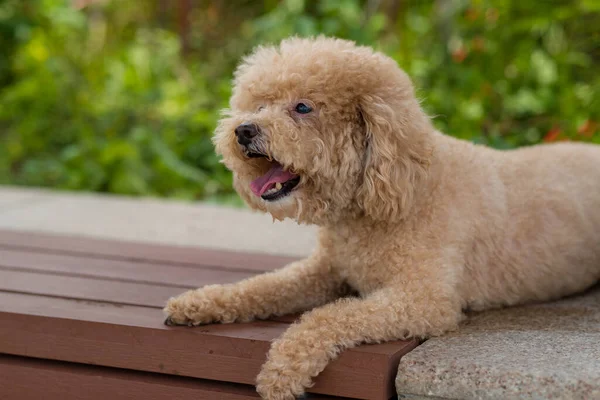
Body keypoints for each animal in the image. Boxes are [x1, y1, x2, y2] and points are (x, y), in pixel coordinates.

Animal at [163, 36, 600, 398]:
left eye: (303, 107)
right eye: (258, 105)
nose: (243, 131)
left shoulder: (423, 301)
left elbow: (329, 316)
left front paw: (282, 369)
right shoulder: (325, 270)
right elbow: (265, 285)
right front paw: (200, 302)